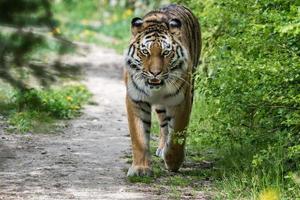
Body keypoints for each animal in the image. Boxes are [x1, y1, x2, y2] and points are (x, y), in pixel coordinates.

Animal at [123, 3, 203, 177]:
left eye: (166, 52)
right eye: (145, 52)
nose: (155, 73)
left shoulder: (181, 100)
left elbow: (177, 135)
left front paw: (173, 162)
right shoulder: (136, 99)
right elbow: (139, 136)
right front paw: (140, 168)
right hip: (160, 106)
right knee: (164, 125)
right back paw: (160, 148)